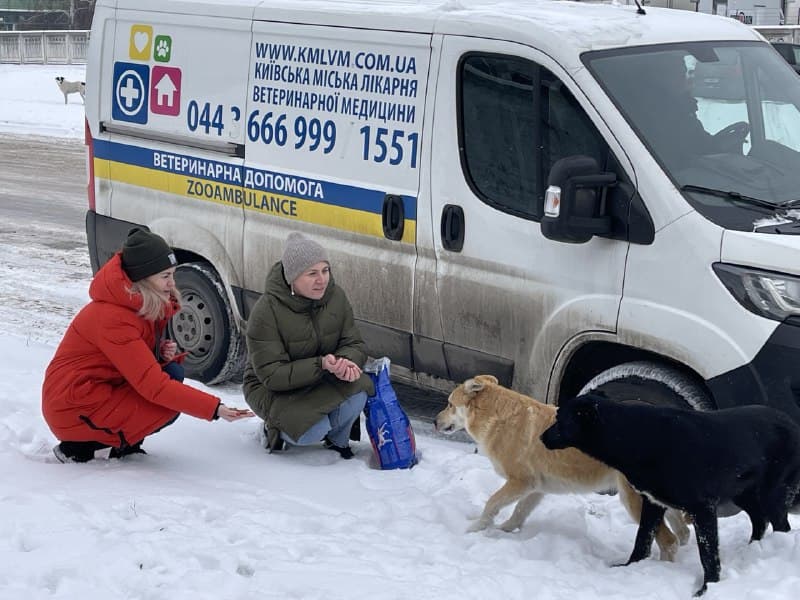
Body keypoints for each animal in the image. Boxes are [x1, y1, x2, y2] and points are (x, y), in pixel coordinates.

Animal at [432, 378, 688, 560]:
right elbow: (518, 513)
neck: (500, 418)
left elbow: (492, 503)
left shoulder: (520, 482)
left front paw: (474, 528)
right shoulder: (535, 489)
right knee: (682, 533)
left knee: (669, 542)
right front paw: (502, 530)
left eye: (449, 404)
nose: (434, 422)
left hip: (633, 501)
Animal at [536, 394, 800, 596]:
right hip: (744, 493)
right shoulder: (652, 503)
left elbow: (708, 555)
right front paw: (629, 567)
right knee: (759, 520)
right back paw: (752, 549)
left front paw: (707, 588)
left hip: (773, 493)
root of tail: (793, 423)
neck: (635, 437)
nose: (541, 437)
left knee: (780, 525)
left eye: (559, 418)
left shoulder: (703, 508)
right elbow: (642, 539)